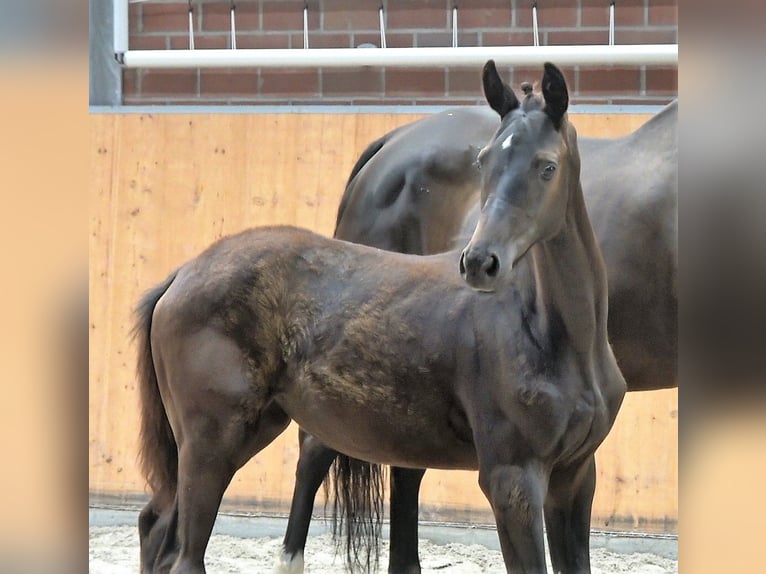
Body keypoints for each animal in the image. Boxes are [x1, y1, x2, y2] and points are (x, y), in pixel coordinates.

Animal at [138, 60, 628, 572]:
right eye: (484, 161)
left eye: (547, 167)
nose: (479, 262)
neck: (551, 335)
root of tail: (180, 276)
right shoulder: (512, 478)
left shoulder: (575, 477)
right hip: (212, 441)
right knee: (184, 554)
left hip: (244, 430)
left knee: (156, 527)